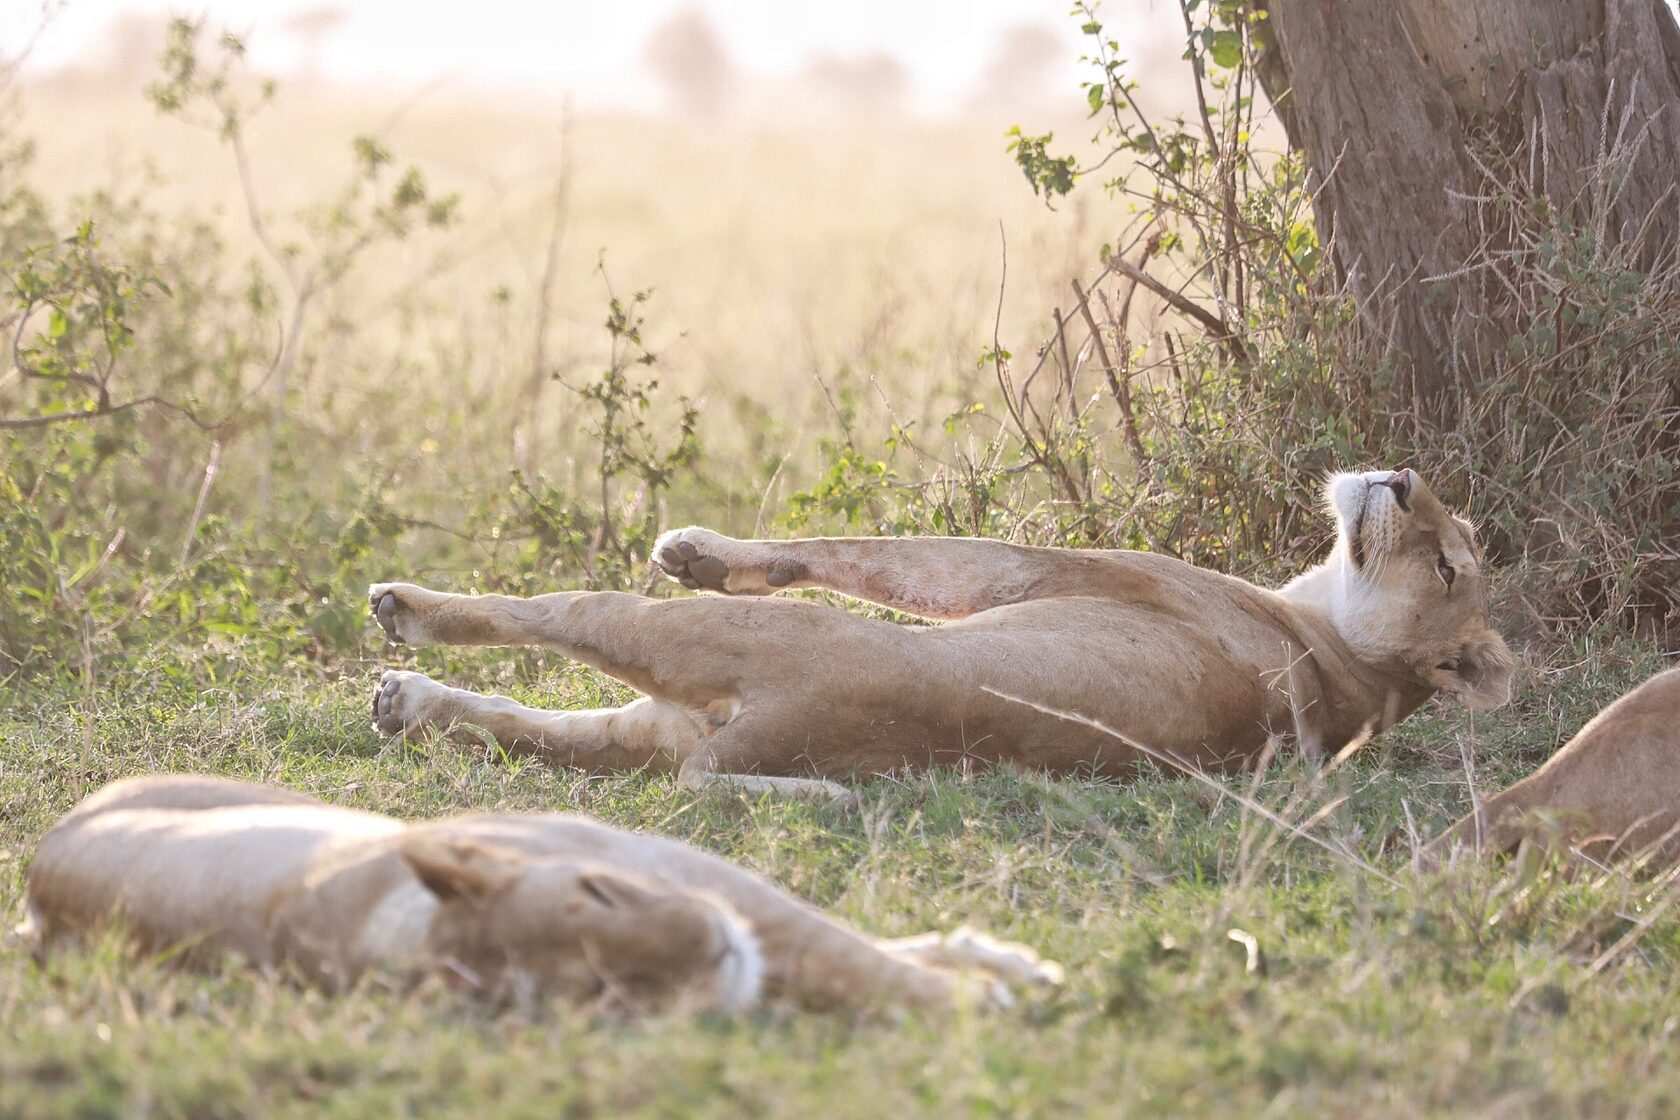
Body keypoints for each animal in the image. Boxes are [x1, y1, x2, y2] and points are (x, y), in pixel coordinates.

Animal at [367, 467, 1514, 804]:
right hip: (651, 731)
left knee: (569, 615)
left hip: (701, 654)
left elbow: (878, 552)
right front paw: (696, 543)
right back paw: (404, 699)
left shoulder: (1038, 569)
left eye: (1448, 564)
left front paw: (693, 546)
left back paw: (404, 613)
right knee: (534, 727)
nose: (1399, 476)